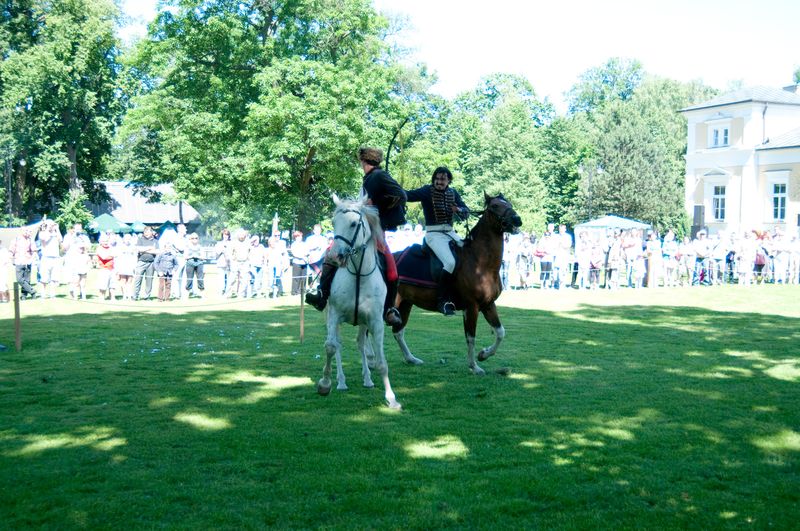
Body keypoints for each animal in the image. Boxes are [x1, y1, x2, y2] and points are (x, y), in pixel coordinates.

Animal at [316, 194, 401, 410]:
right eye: (334, 222)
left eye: (354, 223)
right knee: (337, 344)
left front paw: (391, 398)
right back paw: (341, 382)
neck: (358, 274)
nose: (334, 256)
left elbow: (381, 362)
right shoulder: (334, 315)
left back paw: (368, 379)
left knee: (361, 344)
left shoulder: (376, 322)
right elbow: (330, 347)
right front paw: (325, 383)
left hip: (363, 323)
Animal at [392, 192, 522, 375]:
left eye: (508, 203)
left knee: (398, 331)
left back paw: (411, 359)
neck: (480, 262)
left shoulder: (488, 304)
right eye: (495, 206)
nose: (517, 220)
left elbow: (500, 332)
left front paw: (484, 354)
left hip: (405, 304)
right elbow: (470, 336)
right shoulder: (471, 307)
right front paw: (474, 366)